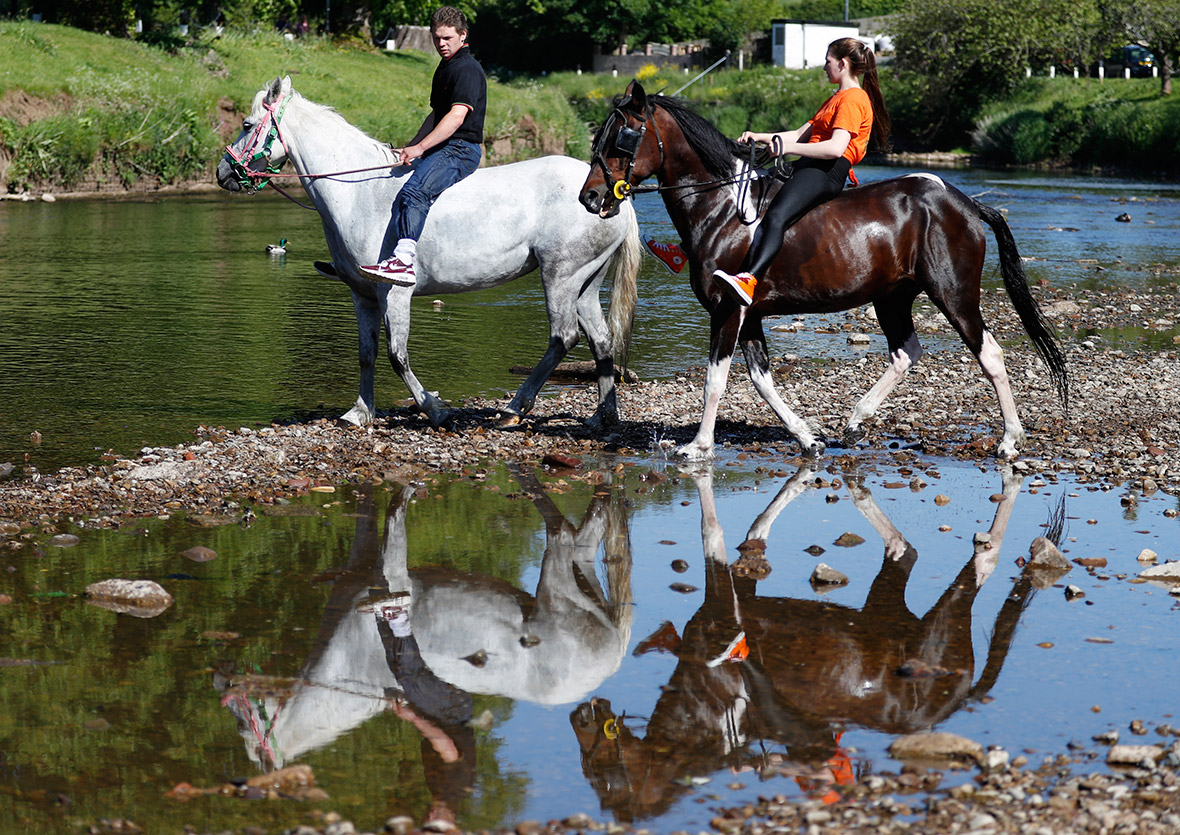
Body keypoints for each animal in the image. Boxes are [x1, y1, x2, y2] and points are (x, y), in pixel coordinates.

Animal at [212, 76, 637, 431]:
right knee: (601, 339)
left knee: (563, 337)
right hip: (584, 281)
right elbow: (366, 354)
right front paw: (359, 412)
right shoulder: (362, 295)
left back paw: (515, 409)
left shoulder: (394, 293)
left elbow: (396, 355)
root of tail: (607, 192)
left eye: (247, 125)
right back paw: (603, 416)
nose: (222, 173)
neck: (359, 191)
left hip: (559, 276)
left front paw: (435, 410)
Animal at [580, 81, 1071, 459]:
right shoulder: (750, 315)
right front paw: (807, 437)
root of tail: (965, 203)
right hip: (892, 297)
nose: (590, 197)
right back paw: (854, 421)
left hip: (954, 294)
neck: (720, 208)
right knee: (905, 352)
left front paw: (698, 446)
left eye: (623, 137)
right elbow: (761, 379)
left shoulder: (728, 310)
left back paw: (1009, 440)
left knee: (990, 354)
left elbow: (715, 380)